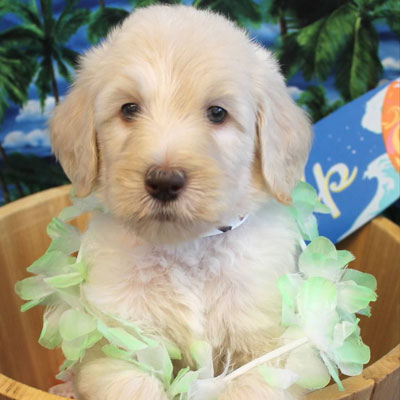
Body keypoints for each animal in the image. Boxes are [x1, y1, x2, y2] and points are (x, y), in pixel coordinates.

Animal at [49, 3, 312, 400]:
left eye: (217, 113)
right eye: (129, 109)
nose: (164, 181)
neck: (187, 250)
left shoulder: (268, 350)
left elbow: (250, 385)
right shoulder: (116, 348)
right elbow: (135, 383)